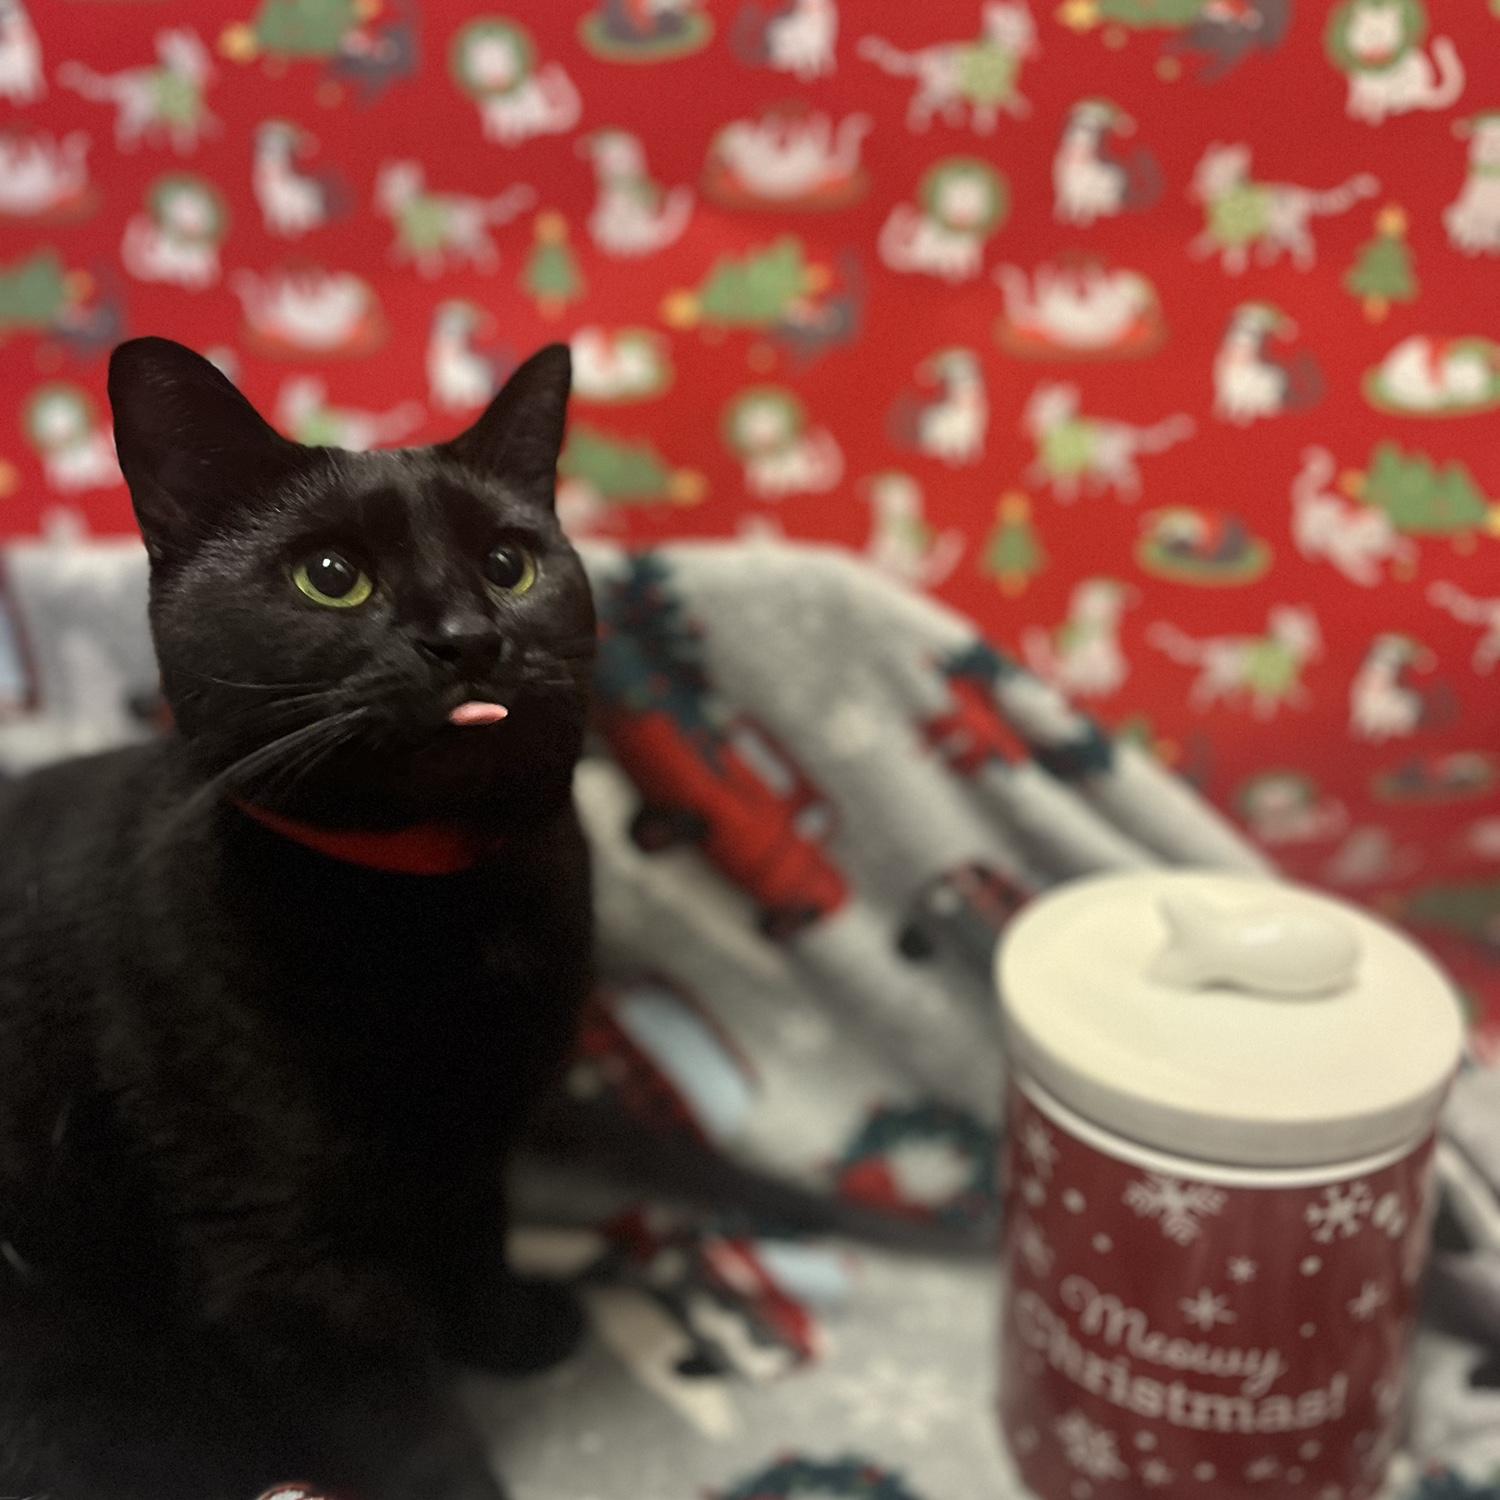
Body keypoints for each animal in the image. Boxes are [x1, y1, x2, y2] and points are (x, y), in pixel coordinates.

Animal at [0, 336, 596, 1500]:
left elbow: (476, 1237)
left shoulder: (468, 1145)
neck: (432, 902)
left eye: (510, 565)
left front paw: (508, 1331)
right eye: (331, 577)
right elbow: (407, 1430)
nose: (467, 639)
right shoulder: (279, 1258)